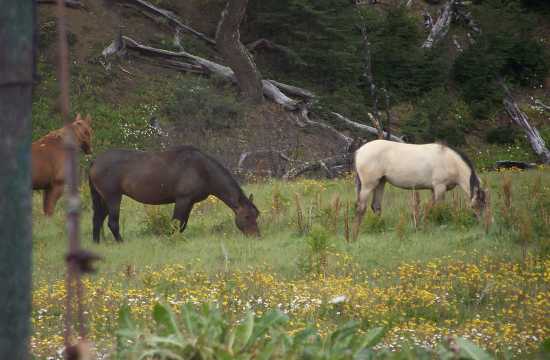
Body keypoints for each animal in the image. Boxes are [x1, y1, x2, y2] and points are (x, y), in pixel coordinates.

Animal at [89, 146, 262, 242]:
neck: (202, 170)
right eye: (247, 216)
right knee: (112, 223)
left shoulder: (190, 202)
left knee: (97, 220)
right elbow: (176, 224)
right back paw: (120, 242)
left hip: (103, 199)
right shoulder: (182, 200)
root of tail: (95, 161)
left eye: (256, 216)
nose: (257, 236)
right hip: (113, 197)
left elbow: (182, 225)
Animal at [354, 140, 488, 239]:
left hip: (381, 182)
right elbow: (439, 207)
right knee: (361, 207)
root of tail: (359, 151)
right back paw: (357, 232)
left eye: (485, 204)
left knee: (376, 206)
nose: (484, 225)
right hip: (368, 185)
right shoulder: (440, 187)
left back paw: (380, 227)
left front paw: (422, 225)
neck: (449, 160)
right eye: (474, 206)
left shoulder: (434, 189)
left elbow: (430, 207)